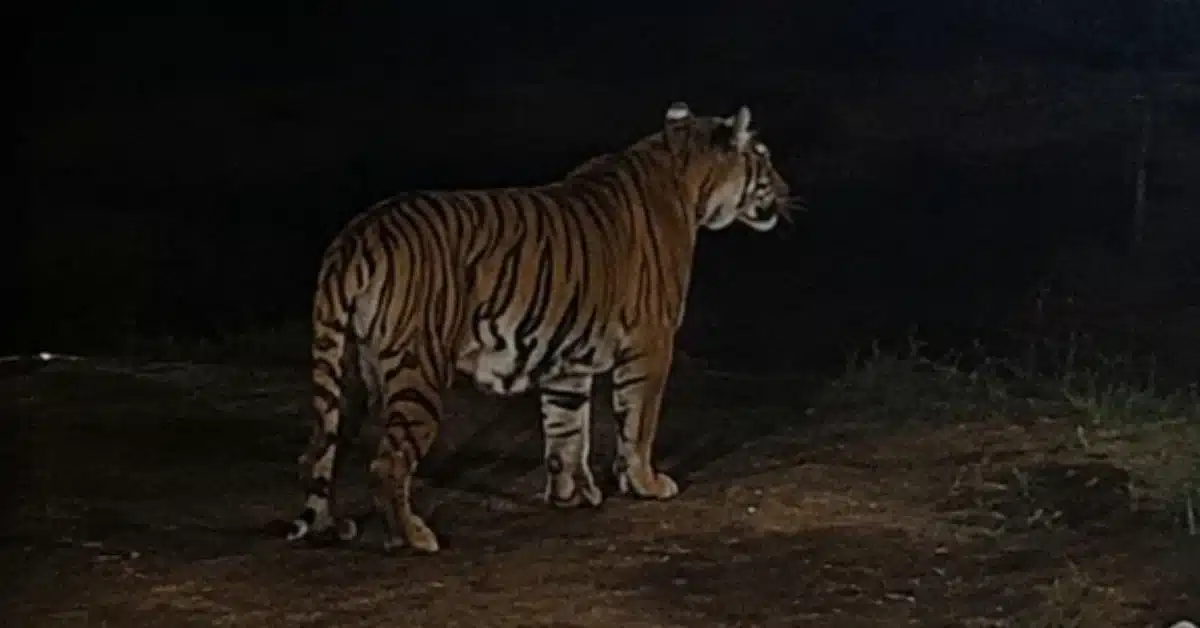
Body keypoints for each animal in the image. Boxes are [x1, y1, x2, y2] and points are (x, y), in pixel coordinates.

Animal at [287, 101, 794, 553]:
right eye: (764, 155)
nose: (786, 188)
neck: (685, 173)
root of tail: (357, 234)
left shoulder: (567, 357)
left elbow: (567, 429)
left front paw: (572, 495)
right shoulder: (650, 344)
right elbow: (638, 422)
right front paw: (646, 483)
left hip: (348, 373)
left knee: (318, 450)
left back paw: (330, 529)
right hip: (418, 370)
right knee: (387, 464)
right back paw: (412, 538)